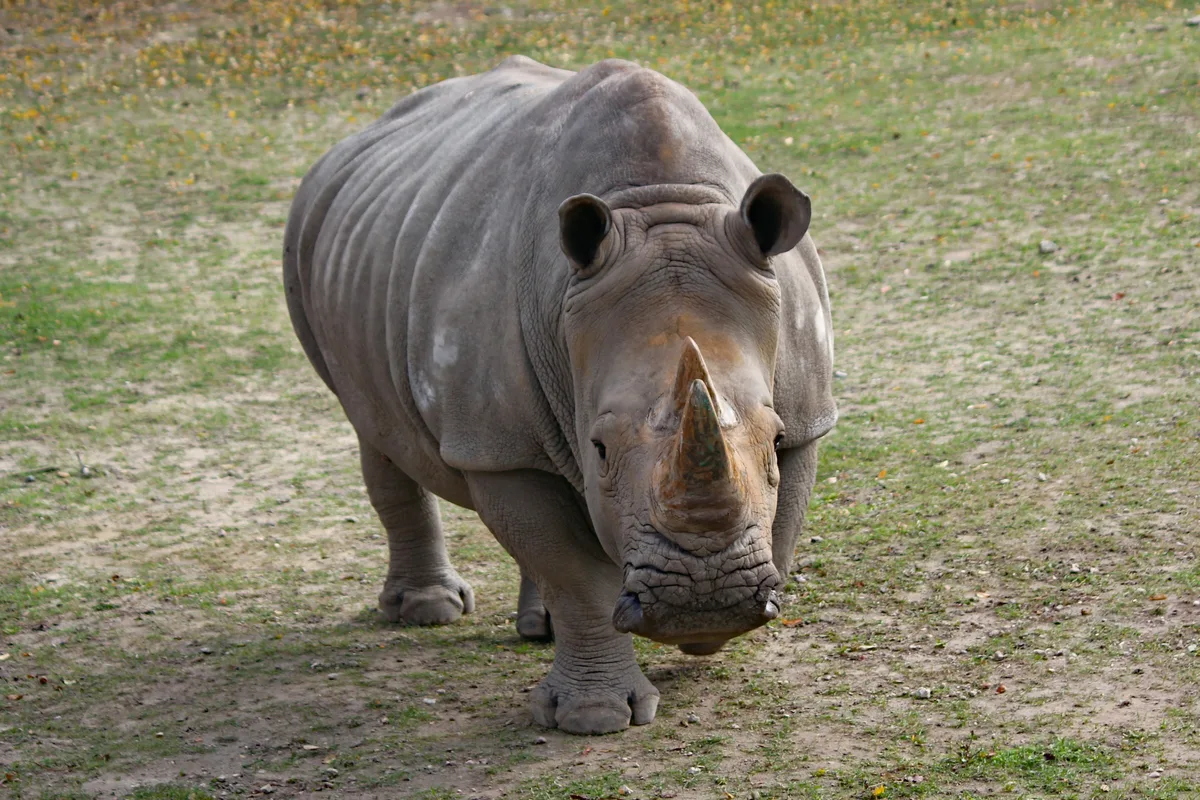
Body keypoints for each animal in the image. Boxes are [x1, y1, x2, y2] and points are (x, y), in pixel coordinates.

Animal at [283, 56, 837, 734]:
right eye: (598, 449)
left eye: (776, 438)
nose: (702, 597)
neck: (658, 203)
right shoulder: (495, 447)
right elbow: (572, 572)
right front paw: (593, 718)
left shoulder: (808, 411)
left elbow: (780, 521)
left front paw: (707, 633)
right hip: (312, 253)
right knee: (374, 432)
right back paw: (428, 611)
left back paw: (537, 630)